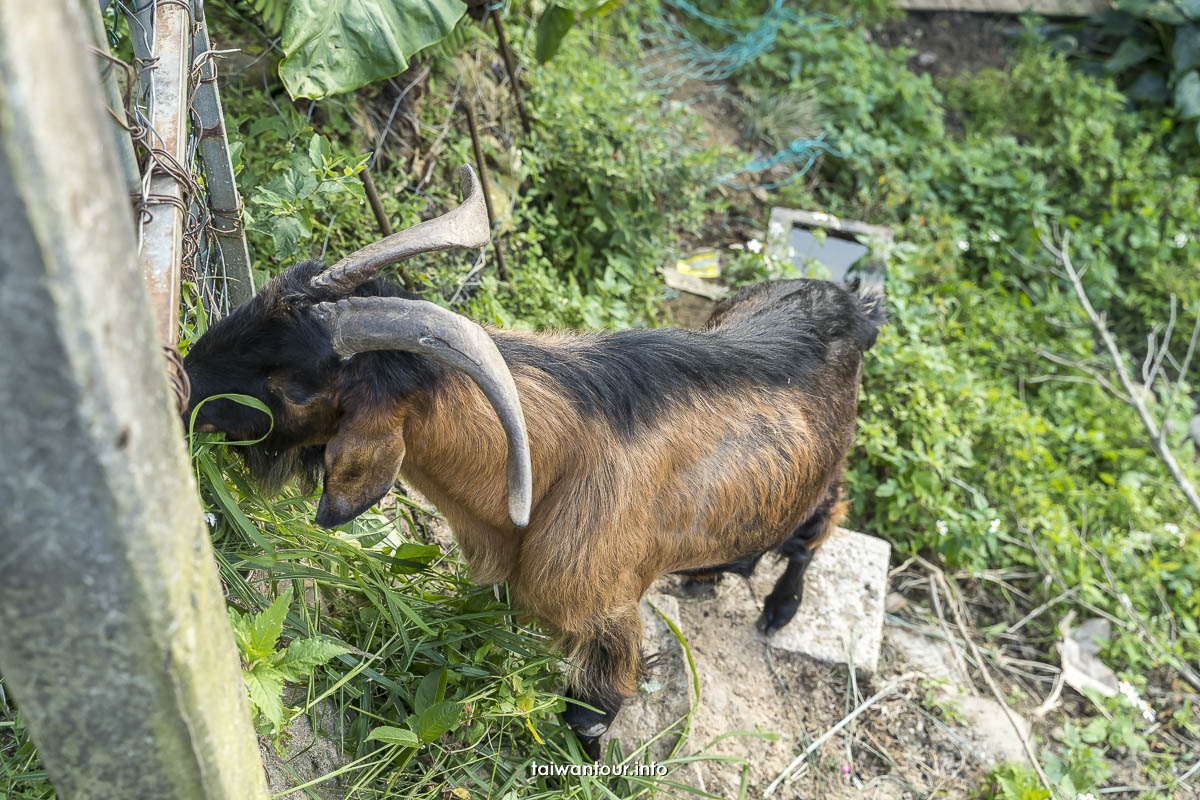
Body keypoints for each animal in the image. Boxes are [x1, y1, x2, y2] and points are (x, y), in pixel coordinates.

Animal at [182, 164, 888, 758]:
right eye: (258, 304)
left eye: (294, 383)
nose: (184, 380)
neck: (547, 474)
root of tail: (855, 306)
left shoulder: (604, 615)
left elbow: (588, 717)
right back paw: (708, 574)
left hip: (828, 472)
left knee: (818, 526)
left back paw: (778, 608)